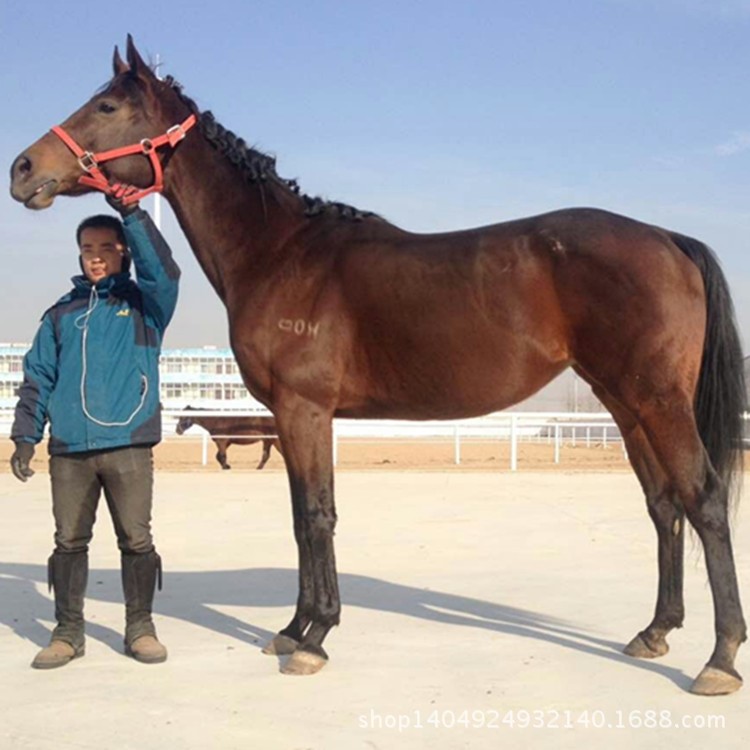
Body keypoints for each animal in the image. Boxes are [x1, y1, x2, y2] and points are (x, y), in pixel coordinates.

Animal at [8, 35, 748, 692]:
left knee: (704, 499)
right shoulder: (297, 419)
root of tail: (668, 239)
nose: (22, 169)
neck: (280, 253)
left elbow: (316, 516)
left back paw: (718, 660)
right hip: (625, 403)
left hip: (657, 400)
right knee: (663, 505)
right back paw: (654, 632)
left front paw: (315, 639)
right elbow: (301, 515)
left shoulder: (304, 410)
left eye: (106, 106)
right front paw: (293, 629)